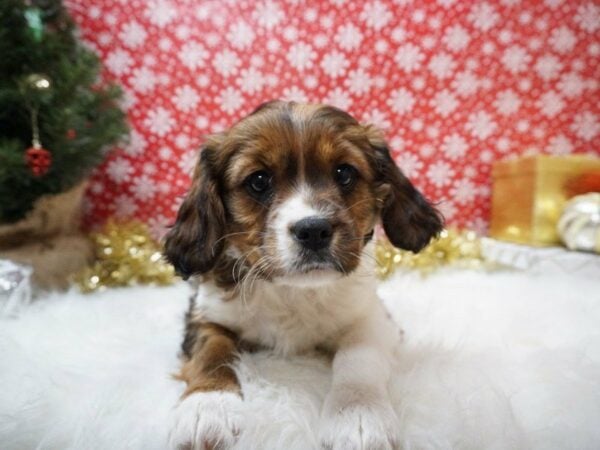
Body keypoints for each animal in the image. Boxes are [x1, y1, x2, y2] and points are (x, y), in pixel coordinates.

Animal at [163, 102, 440, 450]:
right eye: (259, 180)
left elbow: (358, 355)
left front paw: (359, 415)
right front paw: (207, 407)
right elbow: (210, 352)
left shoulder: (373, 318)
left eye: (344, 173)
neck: (293, 291)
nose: (313, 231)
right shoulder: (206, 313)